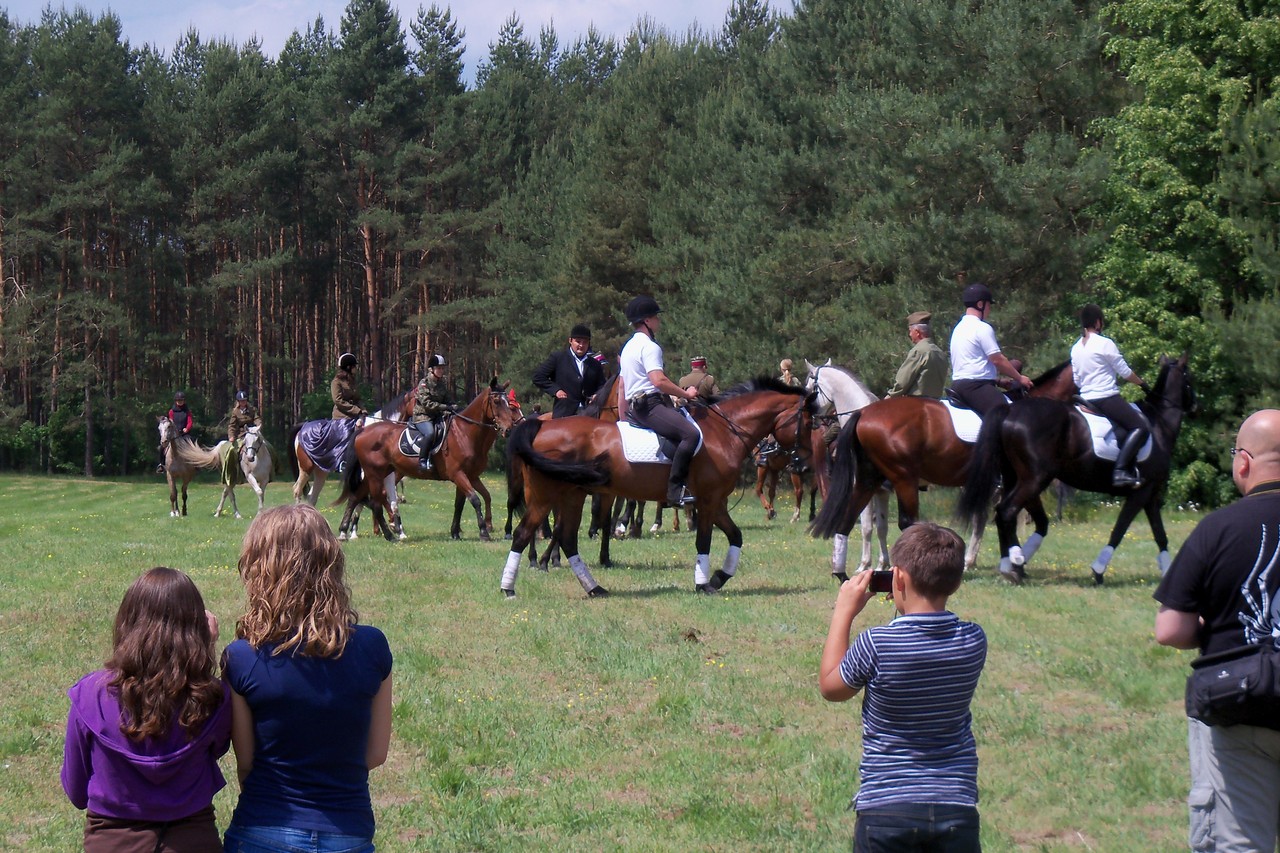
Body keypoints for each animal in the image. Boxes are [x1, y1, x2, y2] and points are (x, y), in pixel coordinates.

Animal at [340, 376, 524, 537]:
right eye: (497, 402)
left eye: (509, 404)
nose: (509, 429)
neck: (465, 433)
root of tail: (363, 430)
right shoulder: (459, 474)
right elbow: (475, 499)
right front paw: (484, 531)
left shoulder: (470, 476)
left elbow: (464, 503)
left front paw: (456, 532)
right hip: (376, 473)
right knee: (371, 499)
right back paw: (385, 529)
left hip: (379, 473)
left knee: (357, 497)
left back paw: (347, 531)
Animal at [494, 379, 814, 596]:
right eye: (810, 422)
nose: (804, 465)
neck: (724, 432)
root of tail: (541, 425)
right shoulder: (708, 501)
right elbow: (704, 541)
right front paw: (703, 584)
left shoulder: (718, 503)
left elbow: (736, 536)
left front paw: (718, 578)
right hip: (544, 497)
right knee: (525, 533)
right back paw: (509, 588)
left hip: (572, 497)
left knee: (568, 539)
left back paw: (595, 588)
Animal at [798, 358, 890, 578]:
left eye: (809, 388)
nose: (811, 420)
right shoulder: (881, 492)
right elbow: (881, 528)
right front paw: (883, 564)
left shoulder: (865, 489)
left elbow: (866, 527)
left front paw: (864, 565)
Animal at [962, 348, 1198, 581]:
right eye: (1189, 378)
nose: (1196, 407)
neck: (1159, 424)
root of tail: (1010, 411)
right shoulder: (1141, 493)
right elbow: (1120, 530)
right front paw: (1099, 569)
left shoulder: (1151, 495)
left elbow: (1160, 535)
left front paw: (1168, 571)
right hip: (1035, 479)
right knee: (1007, 511)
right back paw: (1015, 561)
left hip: (1014, 477)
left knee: (1004, 514)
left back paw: (1010, 564)